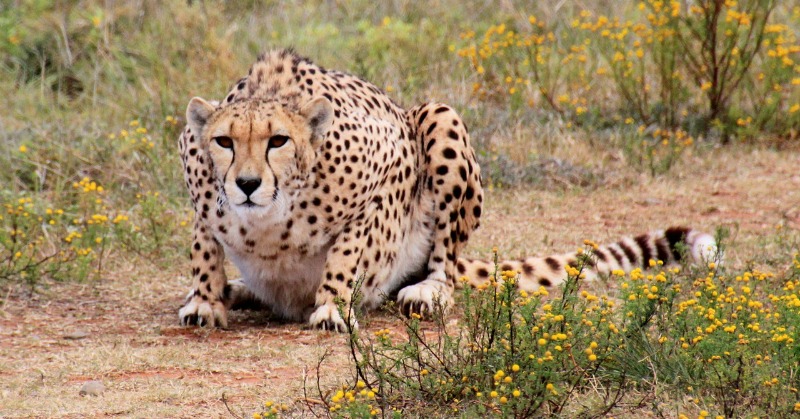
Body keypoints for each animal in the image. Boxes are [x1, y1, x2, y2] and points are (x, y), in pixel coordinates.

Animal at [177, 49, 719, 331]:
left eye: (278, 141)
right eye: (224, 142)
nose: (247, 184)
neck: (269, 219)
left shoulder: (389, 168)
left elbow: (350, 249)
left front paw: (331, 305)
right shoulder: (199, 187)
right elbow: (204, 247)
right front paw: (206, 299)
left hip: (440, 117)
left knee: (446, 260)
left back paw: (428, 291)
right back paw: (238, 289)